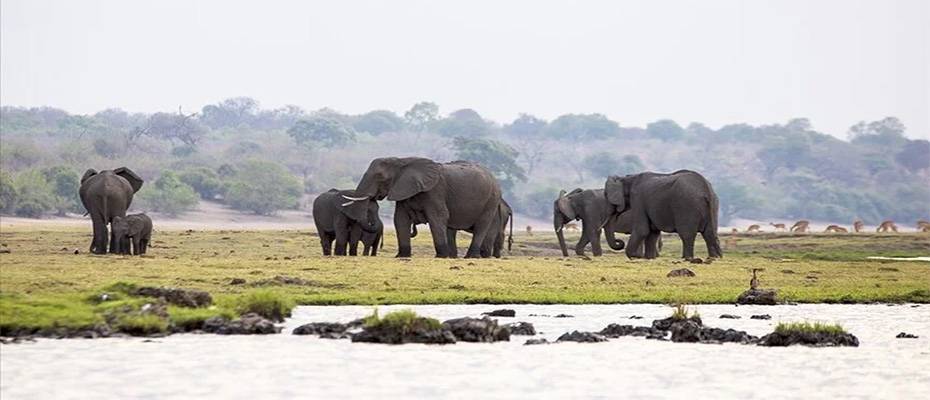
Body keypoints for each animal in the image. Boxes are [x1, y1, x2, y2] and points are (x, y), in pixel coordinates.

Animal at [352, 158, 504, 258]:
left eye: (380, 177)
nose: (373, 198)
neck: (402, 161)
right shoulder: (402, 190)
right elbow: (400, 219)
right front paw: (402, 256)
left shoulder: (435, 191)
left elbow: (438, 217)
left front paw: (441, 257)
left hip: (491, 199)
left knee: (481, 226)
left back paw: (471, 257)